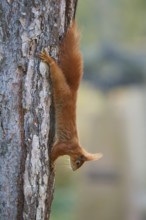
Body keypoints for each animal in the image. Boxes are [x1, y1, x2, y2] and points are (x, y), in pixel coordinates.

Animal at [39, 21, 102, 170]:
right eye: (79, 162)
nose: (74, 169)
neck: (76, 148)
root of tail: (73, 91)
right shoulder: (64, 146)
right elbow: (54, 153)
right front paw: (52, 164)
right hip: (61, 87)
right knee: (57, 74)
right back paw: (49, 60)